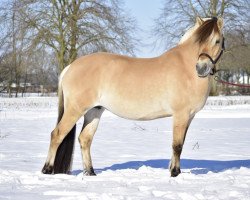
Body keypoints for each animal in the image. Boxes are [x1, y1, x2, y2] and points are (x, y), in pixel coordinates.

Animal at [42, 16, 225, 177]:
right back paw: (47, 169)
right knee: (57, 134)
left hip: (94, 111)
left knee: (85, 139)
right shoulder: (181, 115)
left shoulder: (189, 116)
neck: (186, 68)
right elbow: (177, 145)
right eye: (199, 42)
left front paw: (175, 170)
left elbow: (180, 144)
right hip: (75, 110)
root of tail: (70, 67)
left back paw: (91, 172)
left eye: (217, 41)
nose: (201, 68)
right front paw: (174, 173)